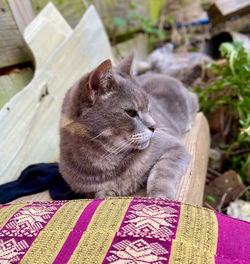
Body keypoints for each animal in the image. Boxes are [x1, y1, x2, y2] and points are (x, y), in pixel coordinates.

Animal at [59, 53, 198, 198]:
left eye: (149, 108)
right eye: (131, 113)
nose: (154, 126)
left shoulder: (174, 147)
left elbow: (161, 173)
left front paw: (159, 197)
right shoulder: (91, 191)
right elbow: (101, 194)